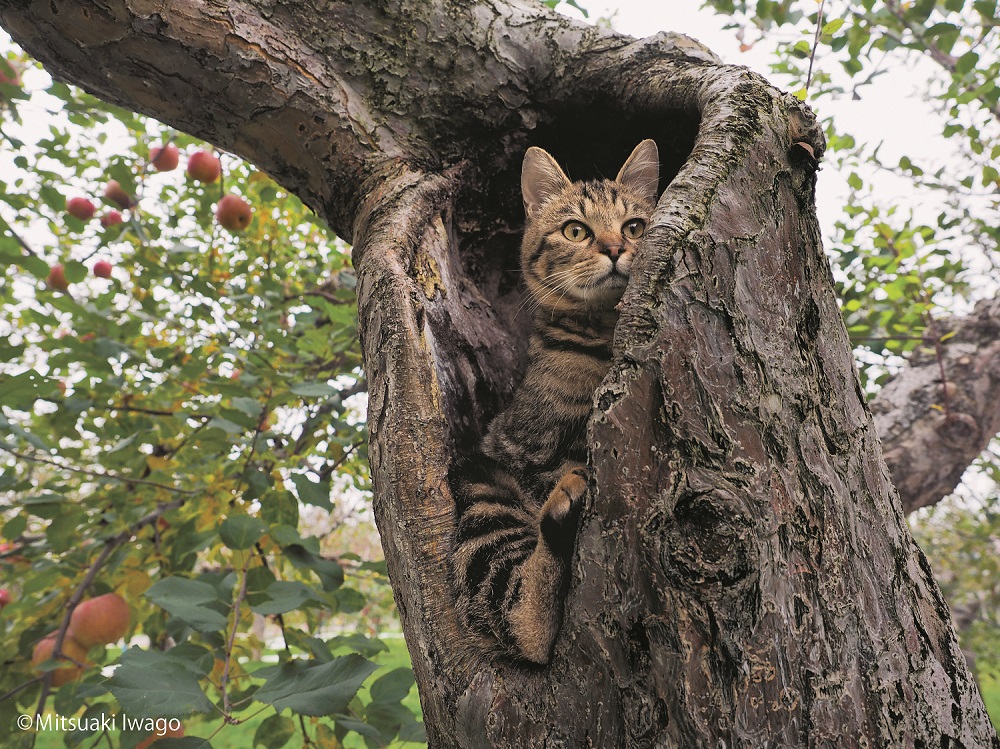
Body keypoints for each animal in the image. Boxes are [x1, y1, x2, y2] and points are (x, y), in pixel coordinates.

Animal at [450, 139, 660, 660]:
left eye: (634, 226)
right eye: (575, 230)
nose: (615, 249)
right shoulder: (525, 446)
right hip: (482, 491)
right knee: (522, 621)